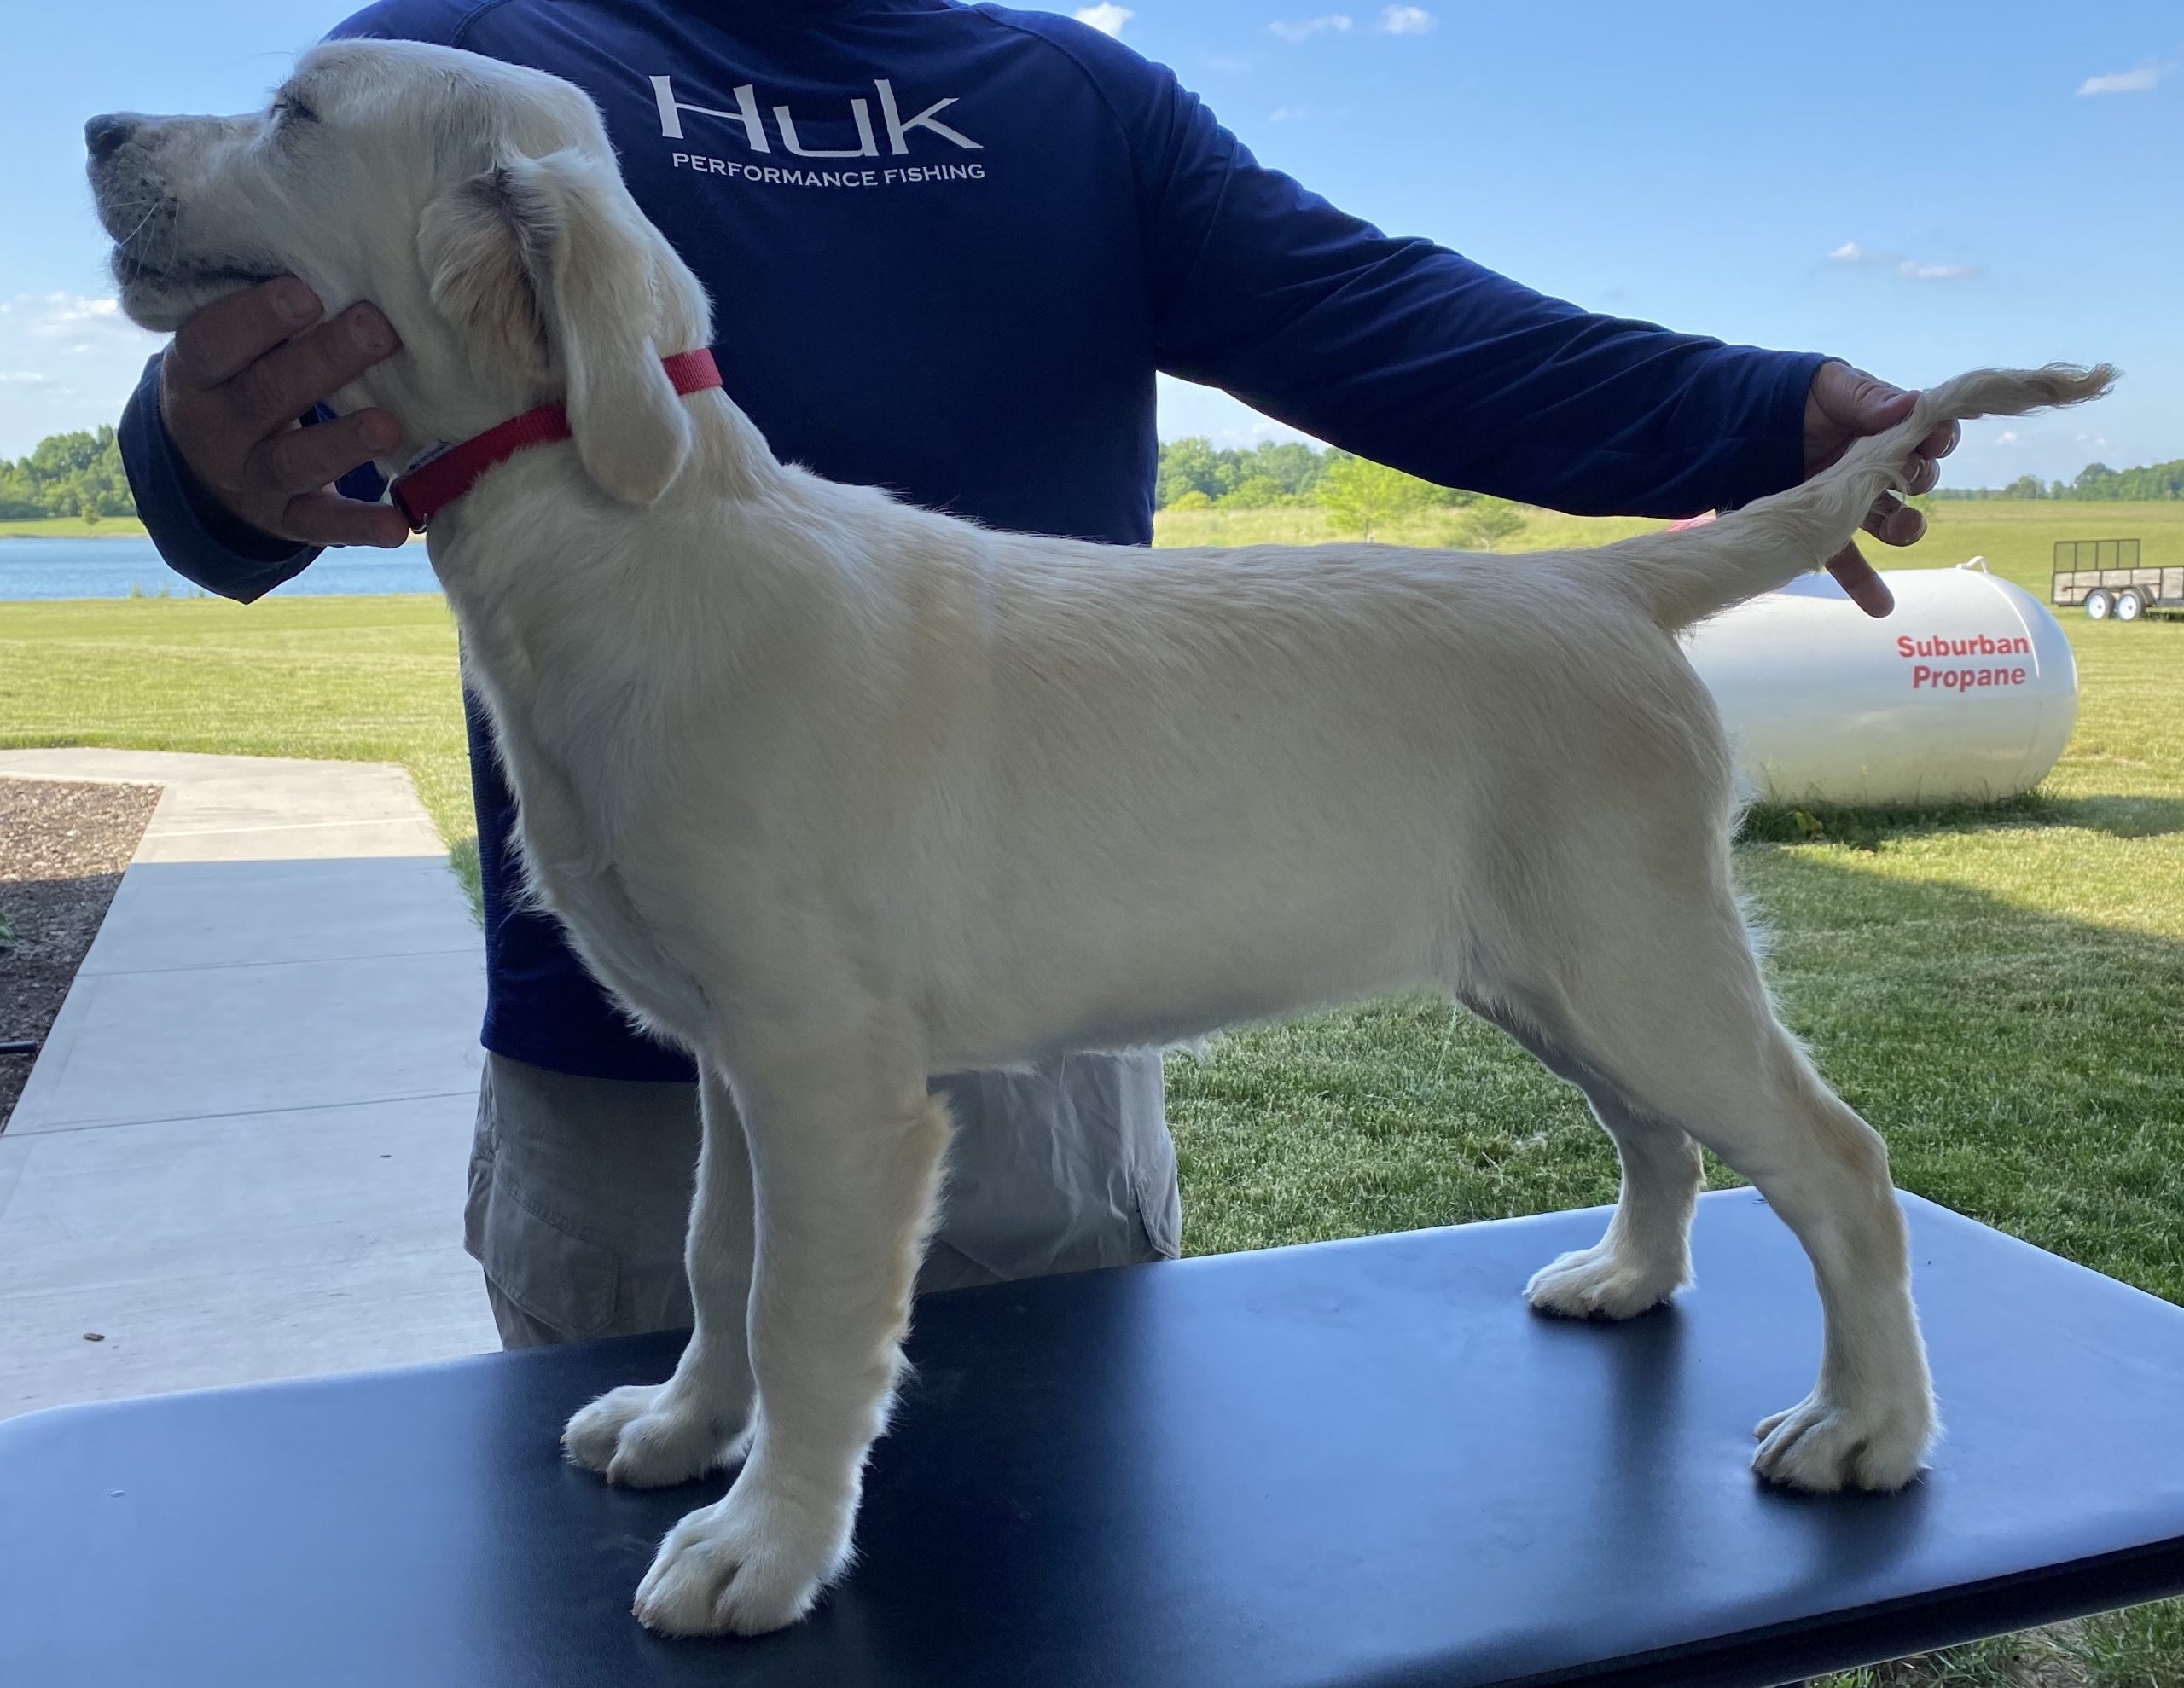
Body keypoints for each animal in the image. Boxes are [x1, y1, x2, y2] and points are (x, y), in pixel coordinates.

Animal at [94, 39, 2105, 1633]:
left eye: (295, 110)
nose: (99, 122)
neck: (632, 531)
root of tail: (1603, 581)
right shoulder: (738, 1055)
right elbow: (714, 1260)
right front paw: (680, 1428)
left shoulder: (833, 1073)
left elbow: (810, 1317)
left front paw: (763, 1543)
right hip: (1547, 964)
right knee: (1666, 1138)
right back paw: (1626, 1274)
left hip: (1638, 947)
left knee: (1836, 1159)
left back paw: (1866, 1426)